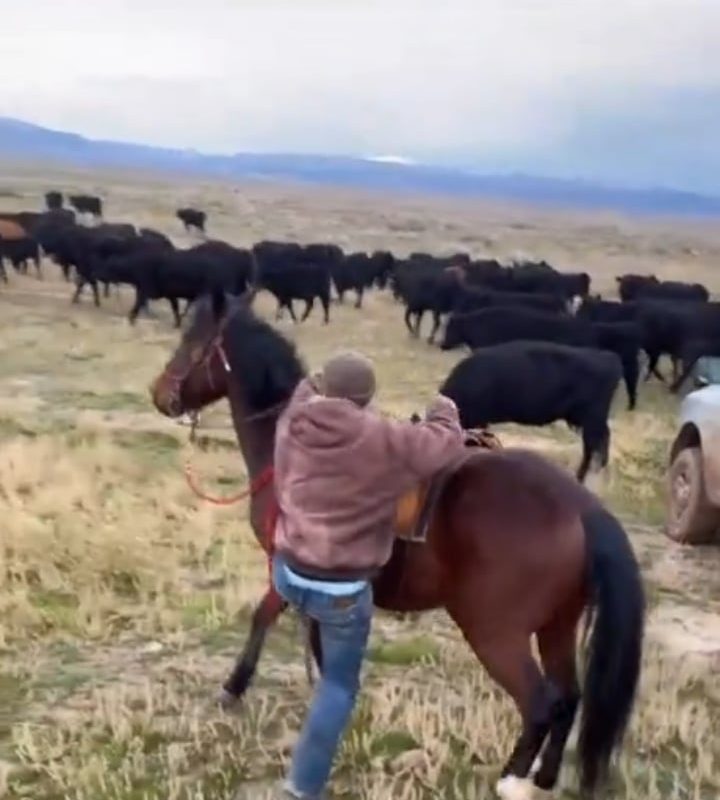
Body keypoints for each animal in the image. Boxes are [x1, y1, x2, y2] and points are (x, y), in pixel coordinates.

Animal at [150, 290, 645, 799]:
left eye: (193, 344)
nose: (161, 394)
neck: (288, 443)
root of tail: (580, 506)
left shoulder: (285, 565)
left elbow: (264, 616)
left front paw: (235, 685)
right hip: (556, 626)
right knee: (569, 699)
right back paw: (543, 777)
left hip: (496, 633)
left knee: (540, 703)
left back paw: (511, 778)